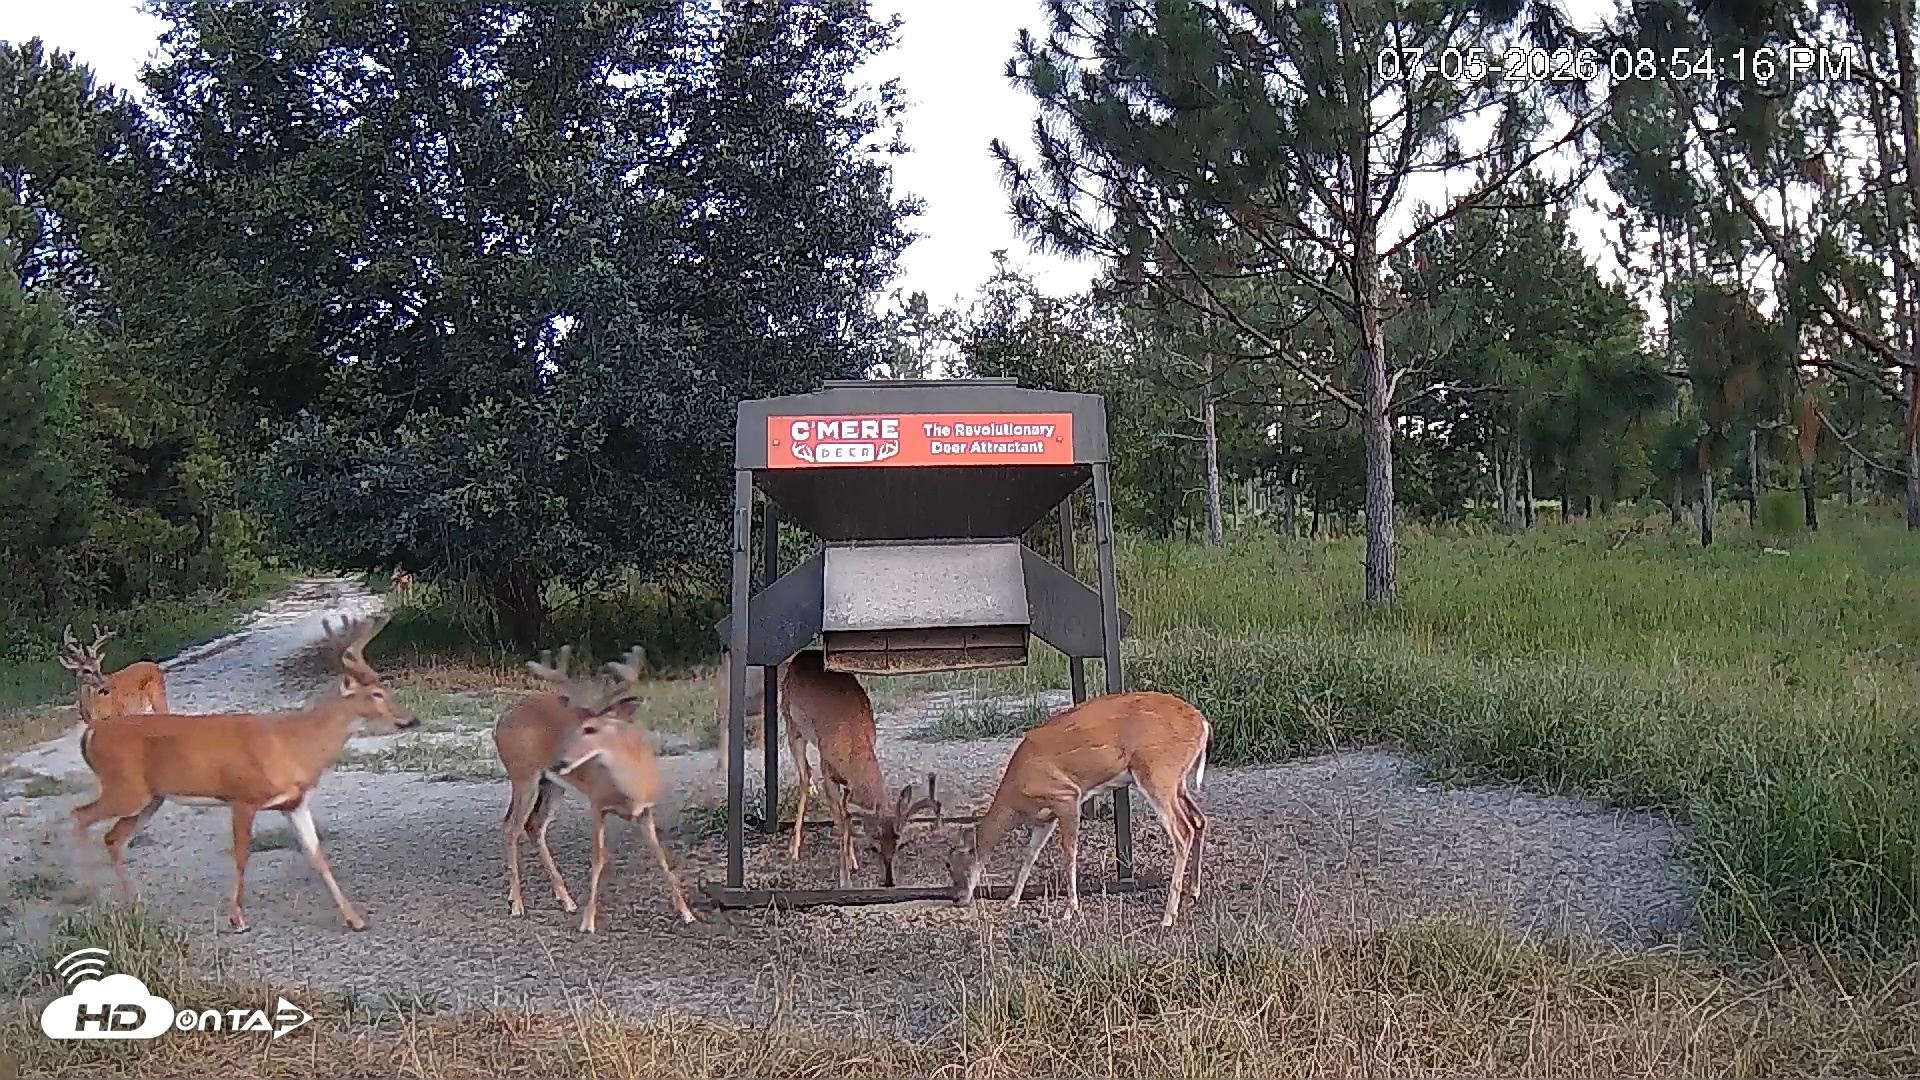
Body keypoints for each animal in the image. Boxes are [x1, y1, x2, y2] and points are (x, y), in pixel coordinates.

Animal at [69, 613, 414, 932]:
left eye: (386, 689)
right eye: (376, 694)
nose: (410, 719)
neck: (293, 744)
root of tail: (92, 732)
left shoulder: (294, 802)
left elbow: (318, 856)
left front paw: (355, 919)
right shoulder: (242, 797)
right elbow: (241, 856)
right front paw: (238, 918)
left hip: (151, 798)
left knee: (113, 838)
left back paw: (135, 903)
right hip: (125, 788)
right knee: (80, 815)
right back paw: (90, 896)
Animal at [495, 645, 697, 932]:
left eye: (590, 729)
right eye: (575, 727)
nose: (560, 760)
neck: (631, 789)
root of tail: (499, 722)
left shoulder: (647, 810)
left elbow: (661, 856)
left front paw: (686, 912)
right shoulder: (597, 803)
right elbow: (598, 857)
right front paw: (588, 921)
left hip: (552, 785)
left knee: (533, 826)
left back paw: (565, 900)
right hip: (523, 774)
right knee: (511, 827)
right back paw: (518, 904)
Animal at [781, 648, 941, 887]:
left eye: (900, 844)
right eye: (873, 846)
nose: (890, 880)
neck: (853, 743)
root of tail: (802, 654)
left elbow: (848, 817)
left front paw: (853, 861)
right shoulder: (827, 769)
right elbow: (841, 823)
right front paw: (844, 875)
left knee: (807, 774)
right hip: (791, 724)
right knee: (803, 776)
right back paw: (794, 849)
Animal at [946, 690, 1211, 928]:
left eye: (952, 862)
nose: (957, 898)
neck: (1017, 797)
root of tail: (1203, 724)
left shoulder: (1067, 797)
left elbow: (1069, 853)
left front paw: (1070, 909)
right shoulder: (1046, 818)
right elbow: (1030, 854)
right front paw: (1012, 900)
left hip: (1157, 771)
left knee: (1183, 831)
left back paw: (1168, 916)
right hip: (1177, 782)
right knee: (1198, 820)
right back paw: (1193, 893)